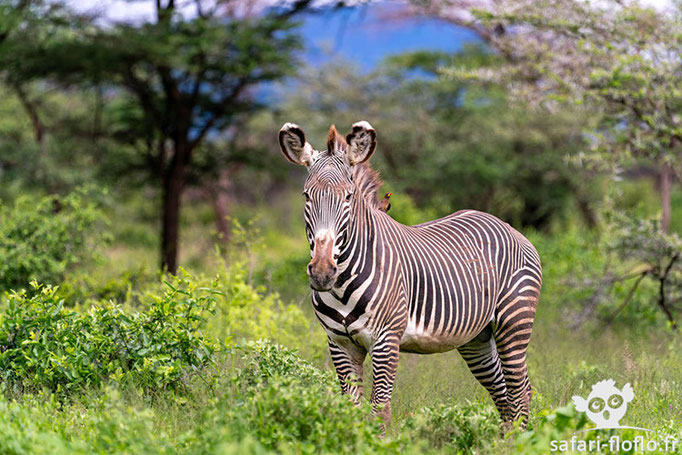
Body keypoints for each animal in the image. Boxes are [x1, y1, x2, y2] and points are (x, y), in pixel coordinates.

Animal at [278, 120, 540, 428]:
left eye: (349, 196)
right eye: (306, 196)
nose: (321, 272)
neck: (341, 285)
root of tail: (506, 225)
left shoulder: (386, 340)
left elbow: (379, 411)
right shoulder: (340, 344)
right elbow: (351, 410)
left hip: (514, 323)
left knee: (520, 391)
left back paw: (520, 437)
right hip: (477, 338)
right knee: (503, 392)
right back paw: (504, 438)